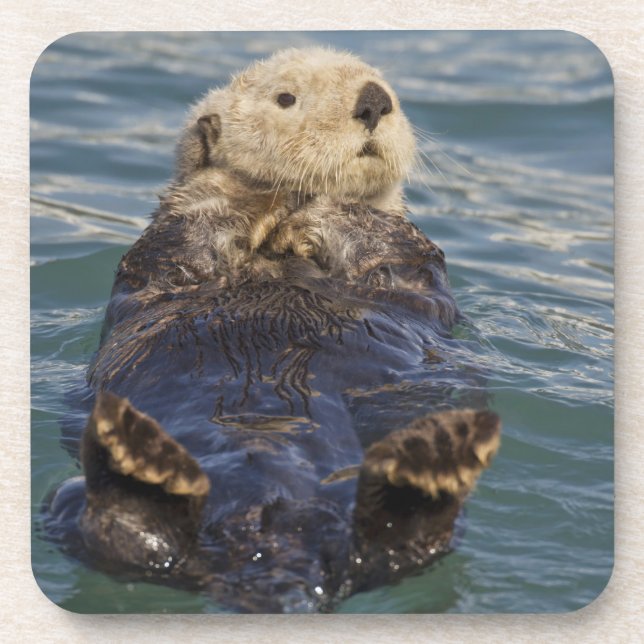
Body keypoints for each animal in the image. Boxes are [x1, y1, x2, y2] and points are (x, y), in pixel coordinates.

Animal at [45, 47, 500, 613]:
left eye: (387, 87)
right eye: (286, 97)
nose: (374, 101)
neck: (276, 255)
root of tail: (277, 544)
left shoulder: (408, 264)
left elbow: (383, 244)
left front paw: (324, 205)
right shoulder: (164, 258)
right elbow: (190, 233)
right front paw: (249, 194)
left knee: (398, 548)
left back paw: (429, 469)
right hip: (64, 501)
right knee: (123, 539)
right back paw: (138, 467)